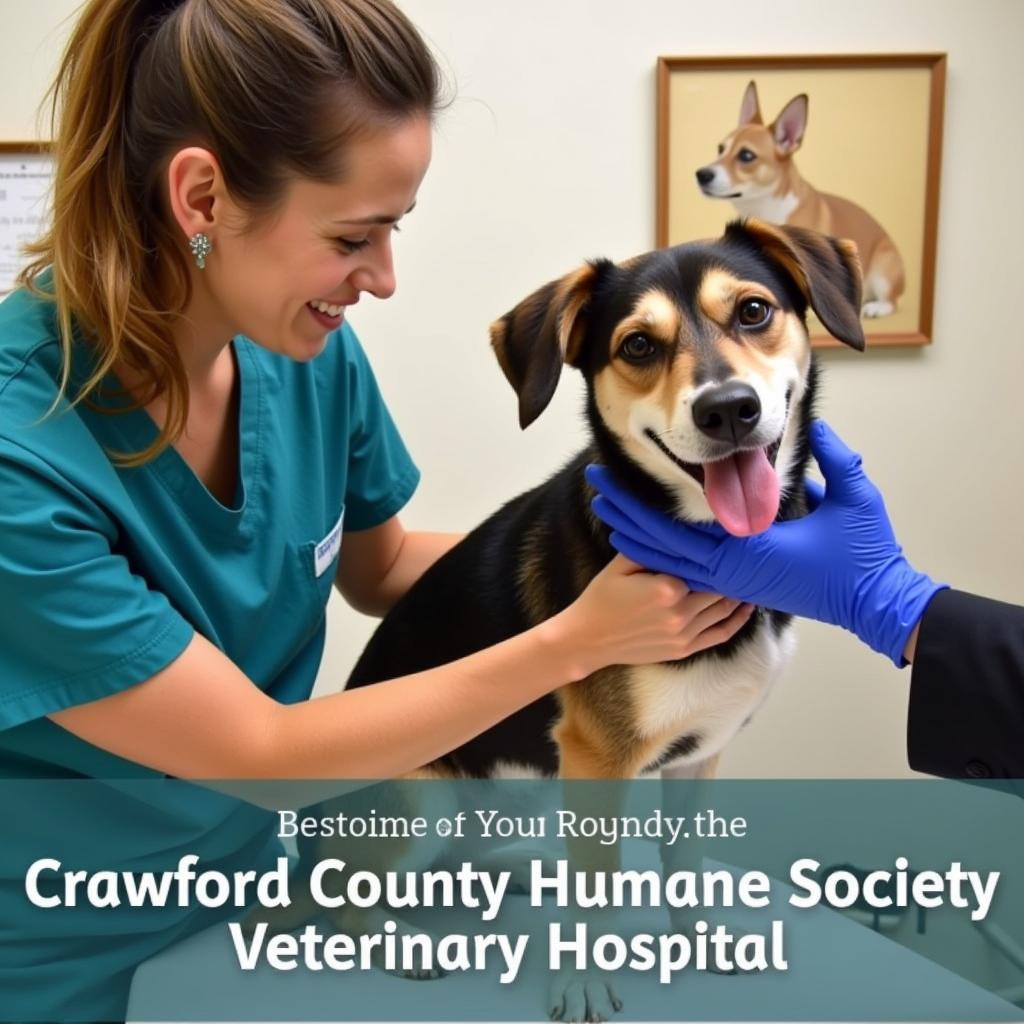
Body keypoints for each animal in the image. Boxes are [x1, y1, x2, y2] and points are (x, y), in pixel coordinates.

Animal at [262, 214, 864, 1015]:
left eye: (754, 311)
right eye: (637, 346)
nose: (728, 409)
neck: (711, 546)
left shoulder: (700, 751)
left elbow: (682, 855)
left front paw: (700, 937)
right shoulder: (596, 755)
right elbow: (599, 880)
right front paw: (582, 977)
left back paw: (520, 868)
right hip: (424, 797)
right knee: (344, 897)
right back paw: (401, 941)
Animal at [696, 81, 905, 315]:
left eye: (746, 155)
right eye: (720, 149)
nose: (701, 174)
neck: (765, 206)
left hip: (883, 270)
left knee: (891, 301)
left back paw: (876, 307)